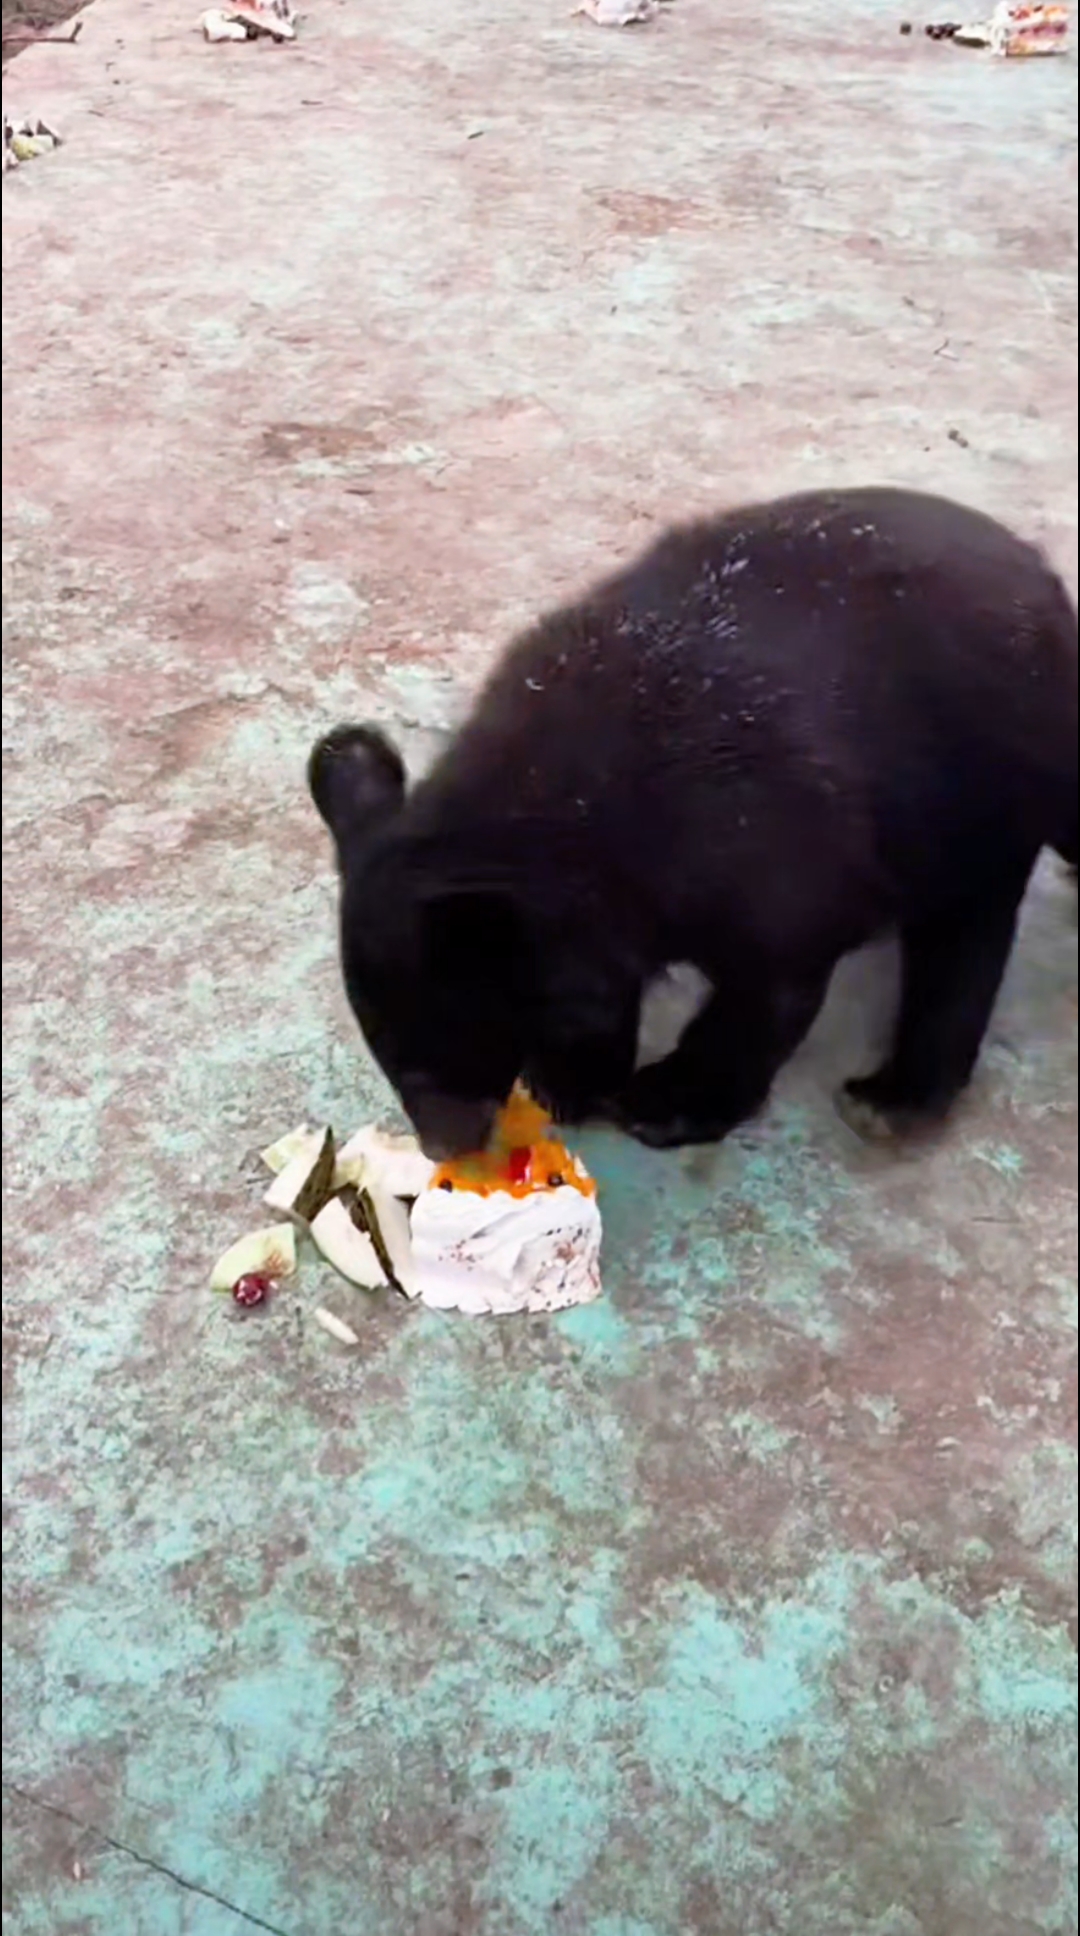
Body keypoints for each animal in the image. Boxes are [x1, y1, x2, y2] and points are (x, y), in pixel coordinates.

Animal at [308, 487, 1077, 1159]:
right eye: (387, 1052)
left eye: (438, 1049)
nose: (445, 1146)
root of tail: (1044, 577)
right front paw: (570, 1079)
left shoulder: (772, 854)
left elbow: (768, 989)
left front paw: (664, 1102)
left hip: (980, 783)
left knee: (964, 936)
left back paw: (892, 1098)